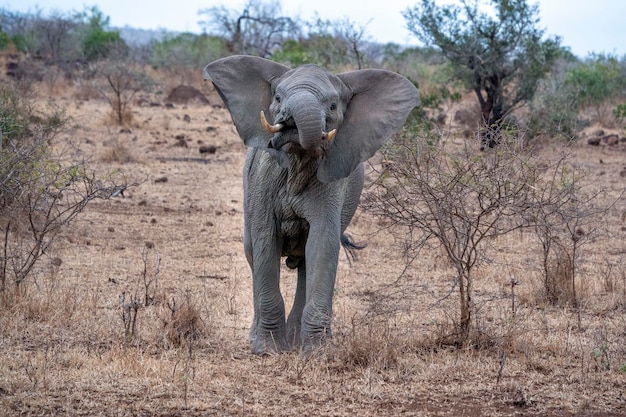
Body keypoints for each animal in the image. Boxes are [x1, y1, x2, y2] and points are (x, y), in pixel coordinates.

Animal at [204, 54, 420, 354]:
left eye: (332, 106)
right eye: (278, 97)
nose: (291, 125)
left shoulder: (332, 183)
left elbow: (322, 243)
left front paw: (317, 352)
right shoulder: (263, 177)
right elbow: (265, 241)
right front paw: (268, 350)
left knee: (306, 261)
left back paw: (297, 341)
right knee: (252, 252)